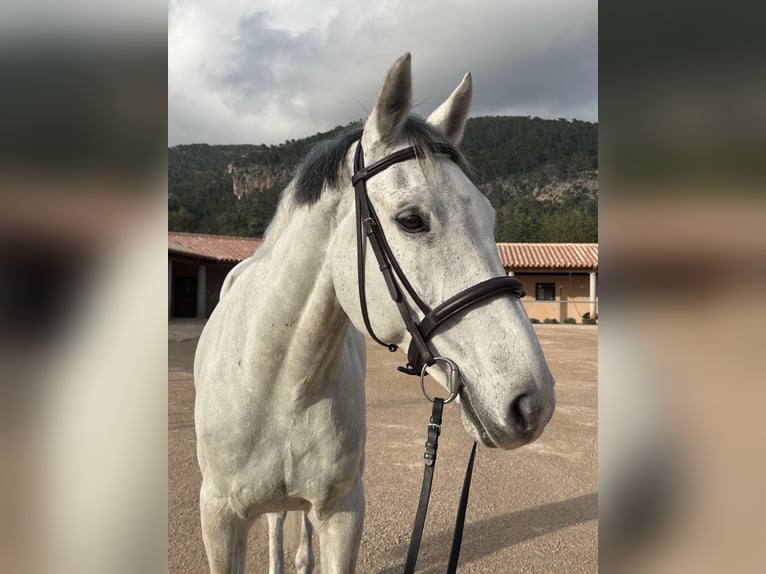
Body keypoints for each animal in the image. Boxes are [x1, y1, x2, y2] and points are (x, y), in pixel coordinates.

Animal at [194, 53, 556, 574]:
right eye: (411, 220)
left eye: (489, 217)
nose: (532, 403)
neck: (278, 384)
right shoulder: (220, 519)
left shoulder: (343, 514)